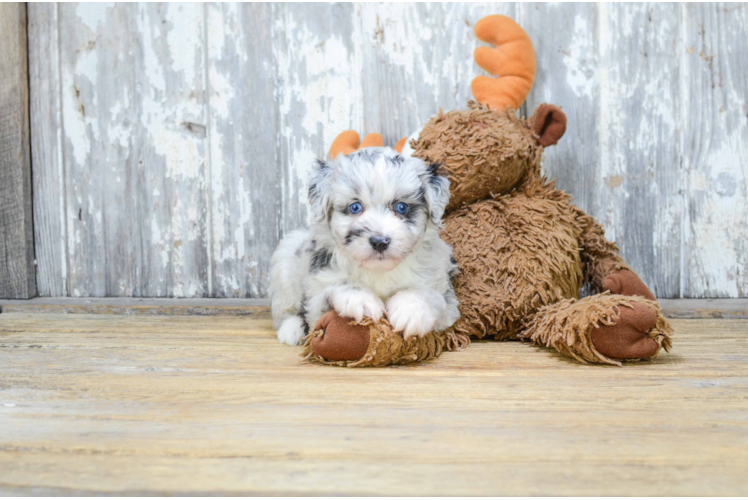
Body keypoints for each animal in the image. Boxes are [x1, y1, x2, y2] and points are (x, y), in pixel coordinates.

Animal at [266, 146, 458, 346]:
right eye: (355, 207)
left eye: (402, 207)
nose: (380, 242)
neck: (379, 272)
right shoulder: (315, 303)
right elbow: (337, 286)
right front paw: (359, 298)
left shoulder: (448, 301)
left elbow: (432, 296)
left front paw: (410, 308)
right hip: (286, 259)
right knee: (286, 312)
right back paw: (291, 330)